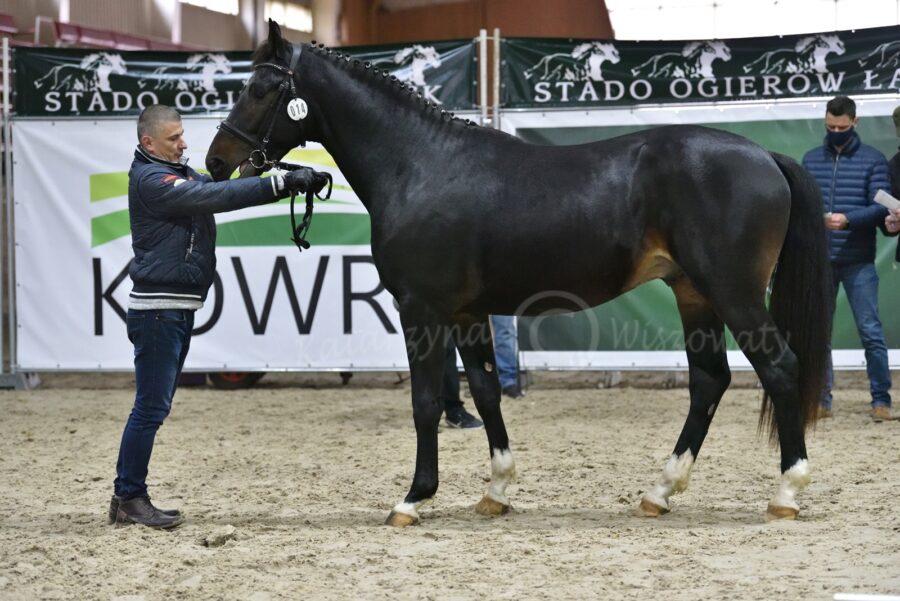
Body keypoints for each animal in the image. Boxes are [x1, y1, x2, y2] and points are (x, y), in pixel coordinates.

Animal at [207, 21, 832, 524]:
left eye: (261, 88)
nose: (215, 161)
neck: (420, 165)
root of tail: (764, 156)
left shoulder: (421, 310)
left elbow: (426, 402)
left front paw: (413, 498)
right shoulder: (466, 312)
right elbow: (486, 392)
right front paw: (497, 491)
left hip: (733, 292)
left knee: (779, 368)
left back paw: (786, 492)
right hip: (693, 293)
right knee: (709, 380)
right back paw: (660, 491)